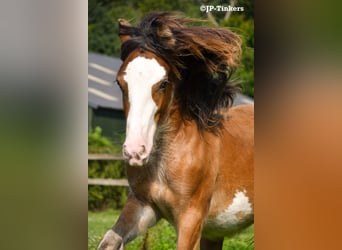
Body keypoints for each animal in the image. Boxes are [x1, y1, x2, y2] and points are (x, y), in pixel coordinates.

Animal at [97, 12, 252, 250]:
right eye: (120, 83)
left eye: (163, 83)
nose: (135, 151)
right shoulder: (143, 206)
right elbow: (109, 242)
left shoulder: (191, 217)